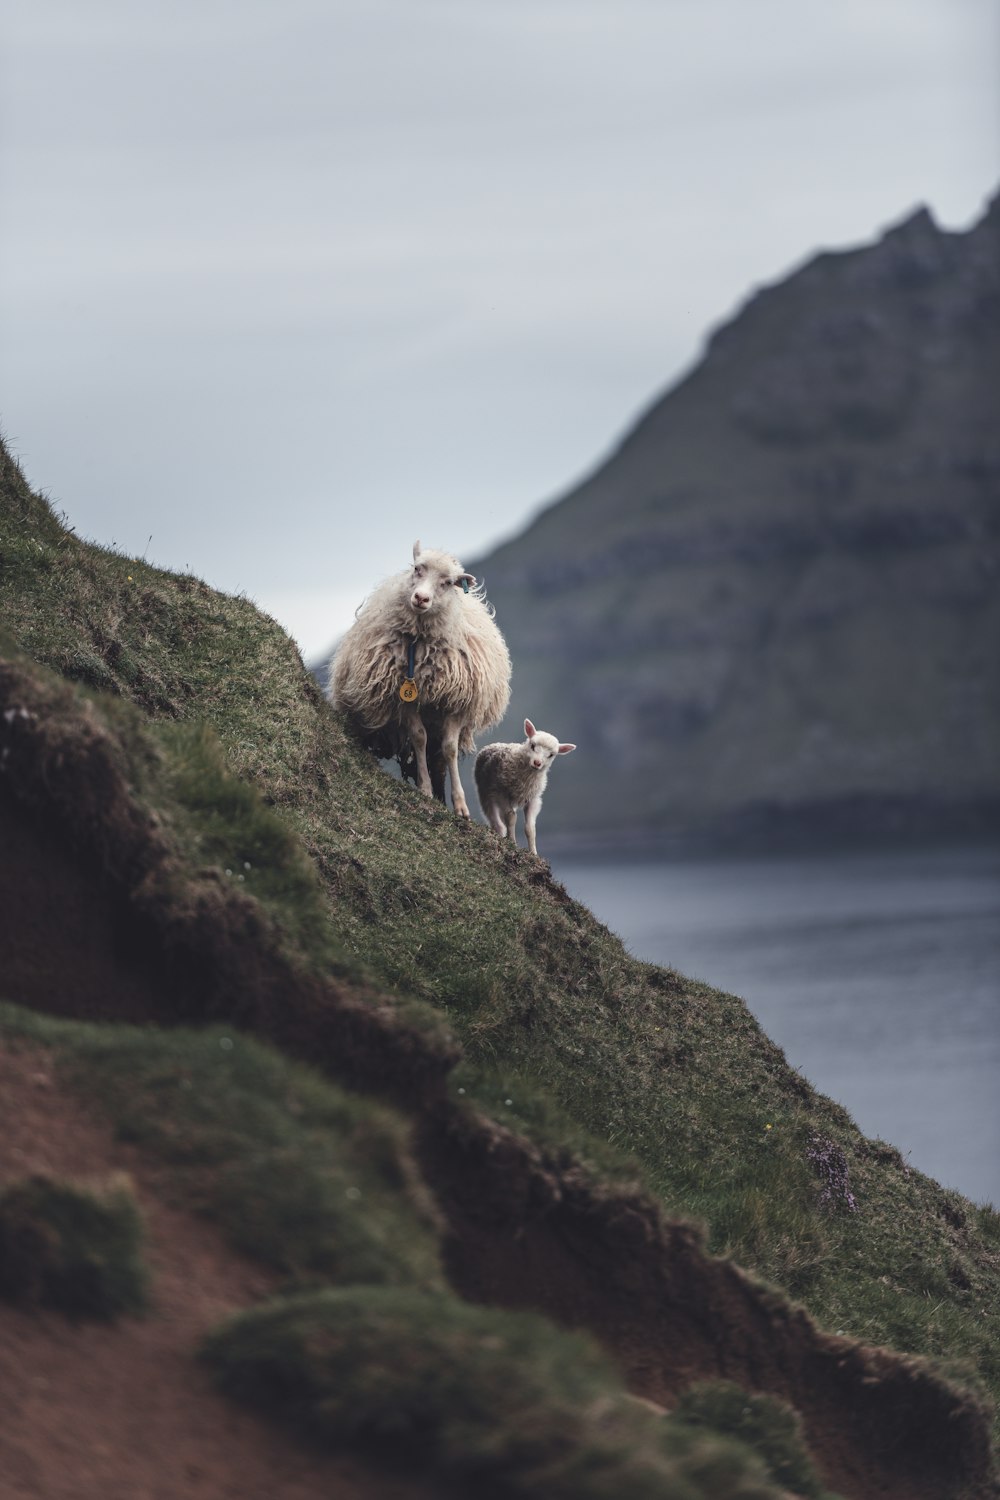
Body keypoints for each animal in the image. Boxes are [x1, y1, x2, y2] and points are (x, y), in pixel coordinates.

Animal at [328, 543, 512, 822]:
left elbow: (450, 749)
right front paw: (424, 790)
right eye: (417, 569)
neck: (420, 642)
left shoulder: (455, 702)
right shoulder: (403, 699)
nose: (421, 598)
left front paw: (460, 805)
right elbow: (418, 738)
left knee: (439, 760)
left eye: (447, 582)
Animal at [476, 717, 578, 858]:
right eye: (533, 745)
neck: (526, 778)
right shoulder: (502, 792)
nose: (537, 763)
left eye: (551, 755)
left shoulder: (533, 799)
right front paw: (512, 842)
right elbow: (511, 817)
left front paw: (533, 853)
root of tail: (494, 744)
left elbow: (530, 828)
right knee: (494, 819)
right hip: (485, 791)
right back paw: (501, 833)